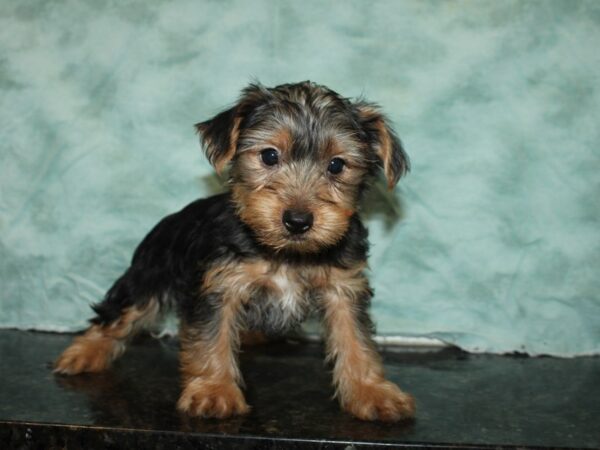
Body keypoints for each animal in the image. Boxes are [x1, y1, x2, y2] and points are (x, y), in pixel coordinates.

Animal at [54, 81, 414, 422]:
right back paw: (83, 354)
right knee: (118, 313)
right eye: (269, 156)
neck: (283, 253)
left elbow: (356, 339)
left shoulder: (344, 288)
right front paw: (214, 391)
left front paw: (371, 391)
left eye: (337, 165)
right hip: (148, 273)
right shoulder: (220, 287)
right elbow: (212, 339)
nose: (298, 221)